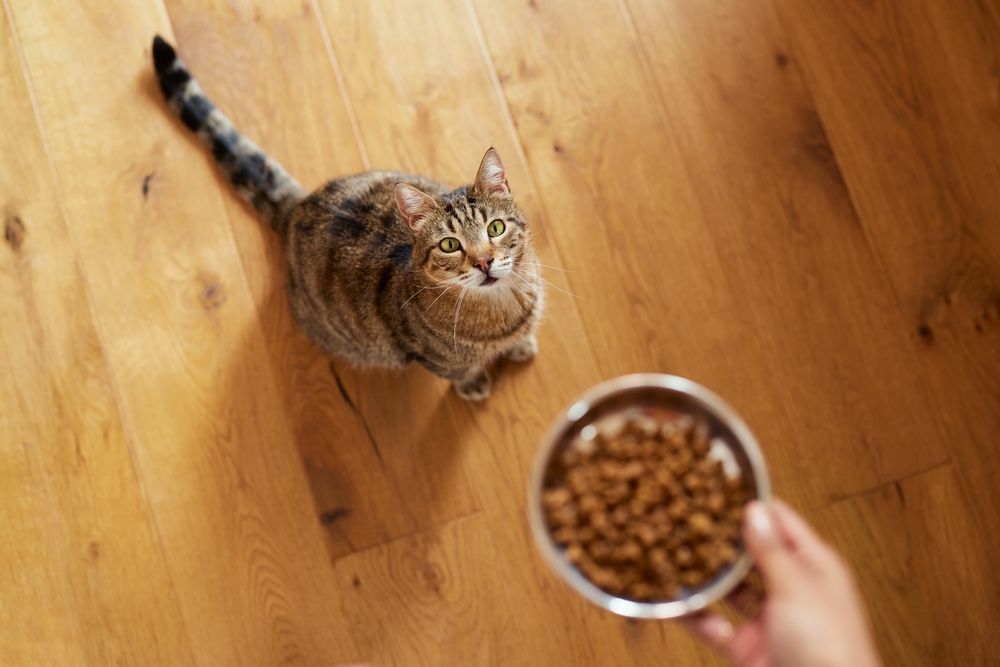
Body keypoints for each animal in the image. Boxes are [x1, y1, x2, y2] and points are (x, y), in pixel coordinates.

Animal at [149, 36, 544, 400]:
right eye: (450, 245)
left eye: (495, 228)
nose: (484, 261)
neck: (504, 306)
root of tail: (299, 205)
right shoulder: (431, 355)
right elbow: (459, 370)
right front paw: (474, 383)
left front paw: (520, 345)